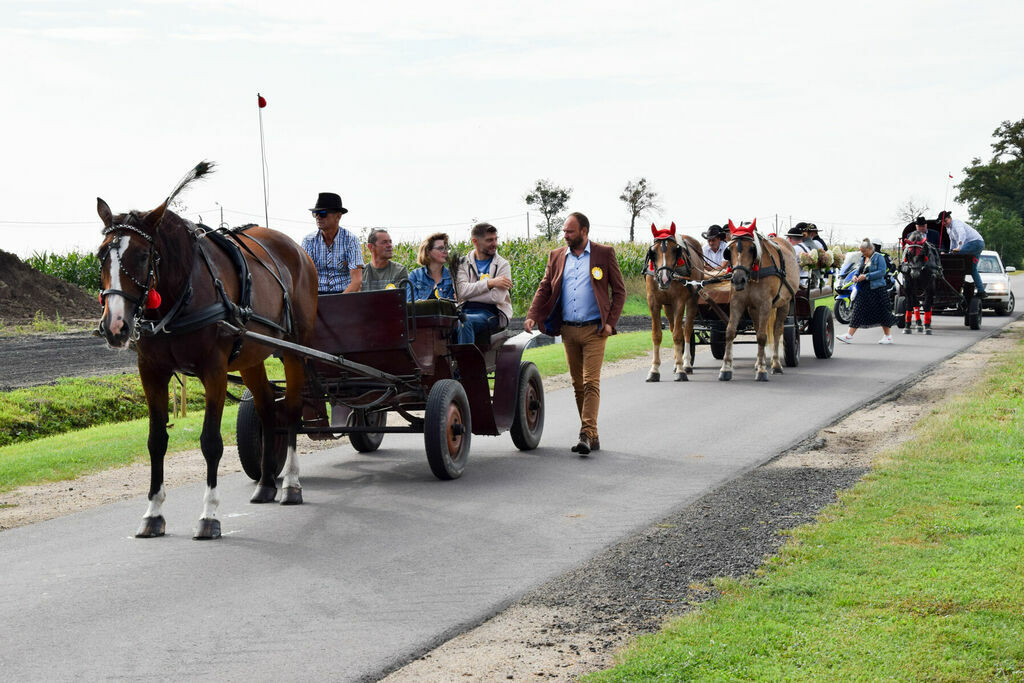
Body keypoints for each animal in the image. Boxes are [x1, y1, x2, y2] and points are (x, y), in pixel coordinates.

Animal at [98, 160, 319, 540]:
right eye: (100, 257)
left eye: (142, 255)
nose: (115, 327)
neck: (182, 292)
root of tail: (298, 251)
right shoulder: (151, 372)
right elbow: (156, 441)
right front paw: (153, 513)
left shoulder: (213, 371)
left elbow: (211, 442)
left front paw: (209, 515)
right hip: (251, 357)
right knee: (266, 411)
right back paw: (265, 484)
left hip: (294, 350)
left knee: (290, 411)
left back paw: (290, 484)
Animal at [643, 224, 708, 385]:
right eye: (653, 252)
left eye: (675, 250)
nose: (664, 279)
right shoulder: (653, 302)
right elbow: (657, 335)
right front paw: (654, 370)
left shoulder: (679, 302)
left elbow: (678, 335)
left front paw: (680, 370)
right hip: (667, 306)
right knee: (673, 327)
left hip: (692, 300)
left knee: (687, 330)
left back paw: (686, 364)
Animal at [720, 219, 798, 382]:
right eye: (729, 249)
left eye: (751, 249)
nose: (738, 279)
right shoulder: (737, 302)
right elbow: (730, 332)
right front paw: (726, 369)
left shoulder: (765, 304)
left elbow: (763, 336)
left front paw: (762, 370)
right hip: (753, 309)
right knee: (757, 329)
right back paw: (758, 362)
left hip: (784, 304)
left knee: (777, 331)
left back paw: (776, 364)